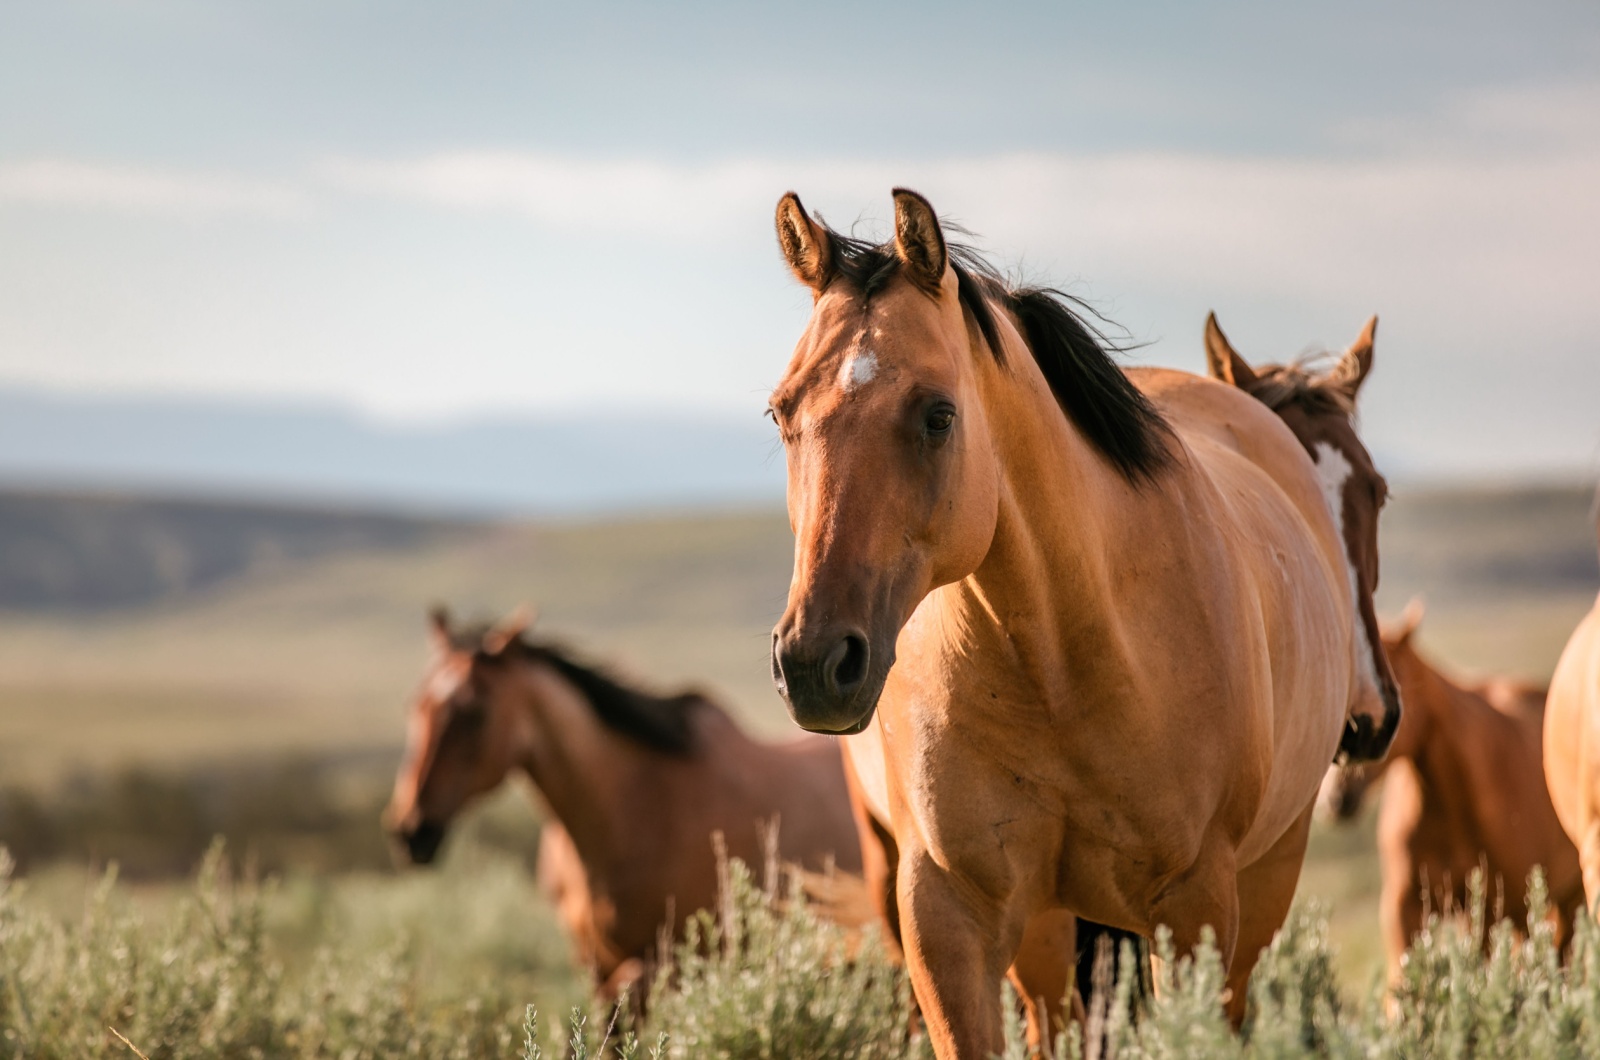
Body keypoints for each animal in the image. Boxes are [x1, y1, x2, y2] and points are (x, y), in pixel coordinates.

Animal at [384, 605, 864, 1005]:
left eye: (474, 713)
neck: (631, 809)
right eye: (415, 705)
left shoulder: (662, 964)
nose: (410, 832)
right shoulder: (594, 967)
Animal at [761, 186, 1388, 1056]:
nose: (816, 663)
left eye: (937, 415)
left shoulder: (1193, 910)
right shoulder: (946, 917)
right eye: (780, 413)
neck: (1061, 661)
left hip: (1256, 893)